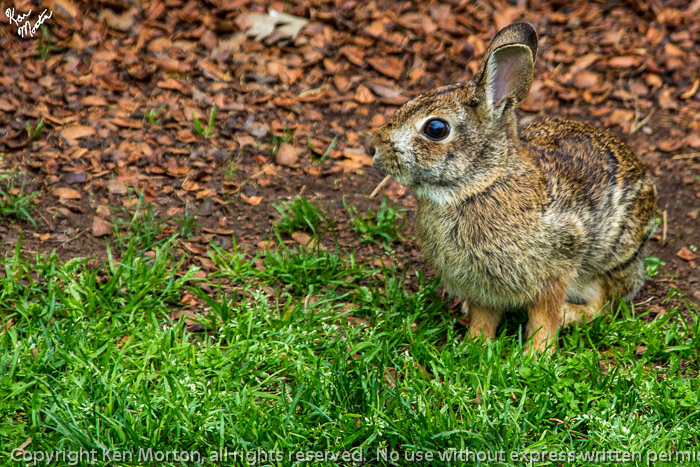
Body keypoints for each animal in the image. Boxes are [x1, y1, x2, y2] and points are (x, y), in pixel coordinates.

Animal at [368, 22, 657, 352]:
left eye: (436, 129)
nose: (374, 148)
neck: (480, 185)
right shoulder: (481, 285)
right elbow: (484, 316)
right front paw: (475, 346)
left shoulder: (554, 270)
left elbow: (545, 317)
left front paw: (536, 354)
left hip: (608, 262)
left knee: (604, 305)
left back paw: (570, 314)